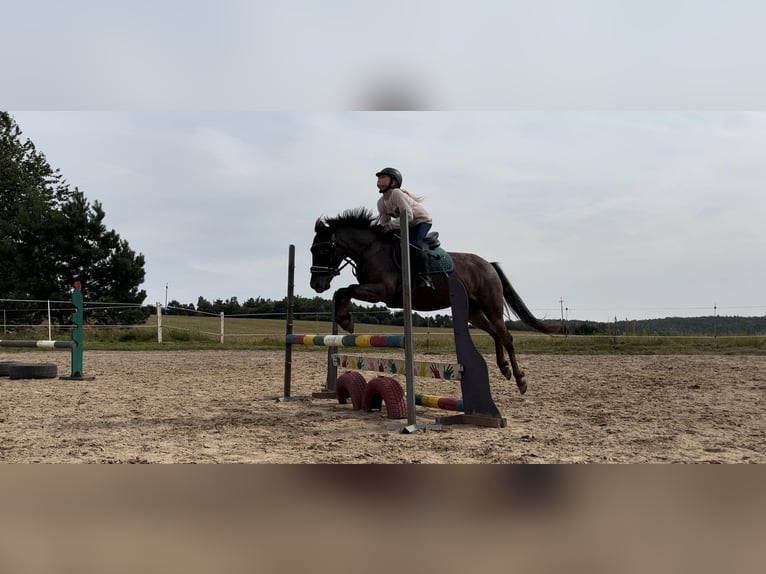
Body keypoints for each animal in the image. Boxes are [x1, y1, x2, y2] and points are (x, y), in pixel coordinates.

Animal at [308, 208, 560, 396]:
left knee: (505, 336)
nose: (316, 285)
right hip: (474, 312)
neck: (372, 250)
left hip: (491, 304)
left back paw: (520, 380)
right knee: (495, 333)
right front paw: (344, 319)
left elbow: (347, 289)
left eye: (323, 251)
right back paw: (504, 368)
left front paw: (346, 320)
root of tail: (488, 264)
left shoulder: (383, 291)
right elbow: (343, 291)